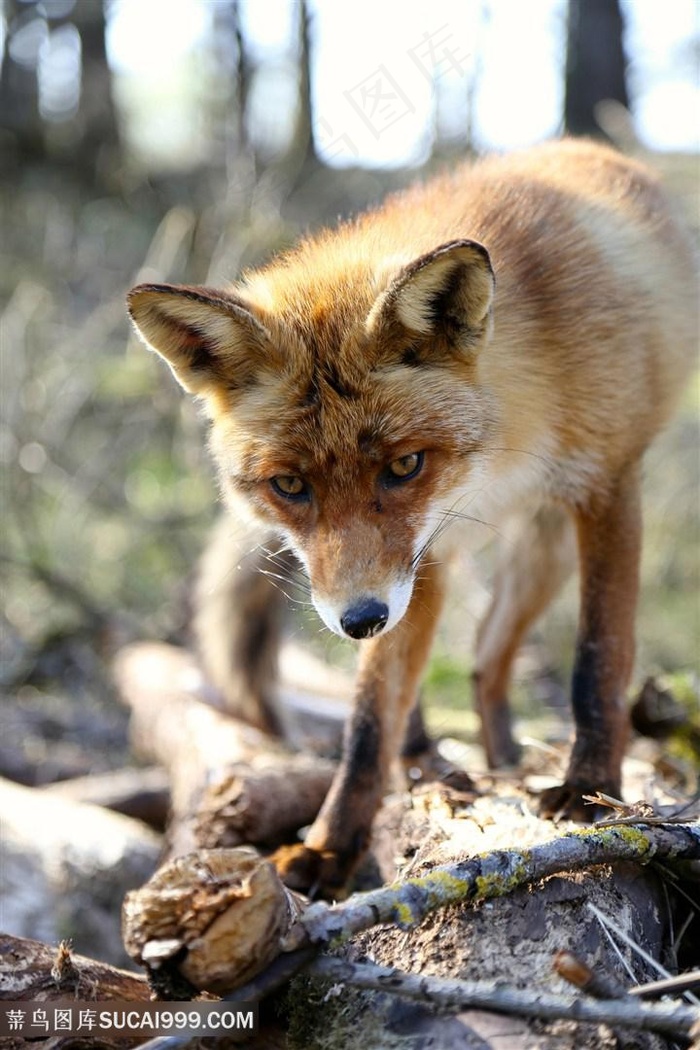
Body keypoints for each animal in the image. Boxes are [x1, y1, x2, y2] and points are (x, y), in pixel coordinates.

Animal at [128, 137, 696, 894]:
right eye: (289, 485)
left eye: (403, 466)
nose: (358, 620)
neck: (512, 427)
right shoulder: (414, 558)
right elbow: (369, 722)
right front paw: (330, 847)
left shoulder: (608, 485)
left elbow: (598, 660)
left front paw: (590, 790)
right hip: (442, 564)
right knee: (450, 675)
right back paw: (429, 762)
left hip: (538, 549)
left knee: (488, 660)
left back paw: (501, 758)